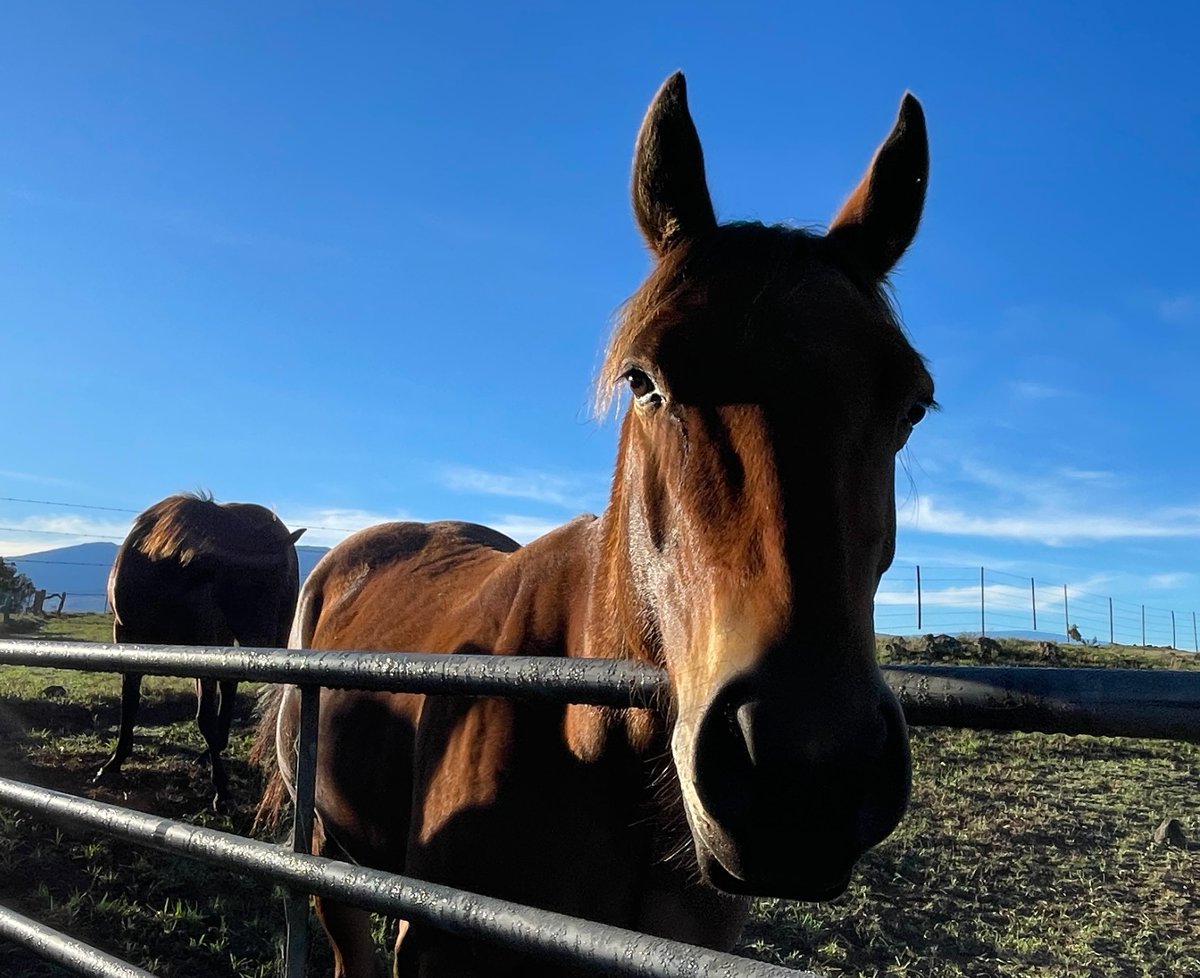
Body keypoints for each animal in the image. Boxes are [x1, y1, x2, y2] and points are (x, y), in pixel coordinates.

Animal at [97, 492, 305, 812]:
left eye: (280, 580)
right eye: (245, 582)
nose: (269, 647)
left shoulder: (203, 646)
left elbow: (204, 717)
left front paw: (222, 790)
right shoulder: (127, 639)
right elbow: (129, 703)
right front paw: (114, 762)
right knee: (229, 685)